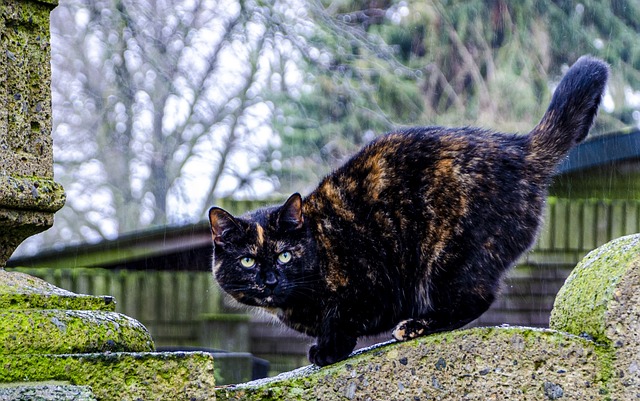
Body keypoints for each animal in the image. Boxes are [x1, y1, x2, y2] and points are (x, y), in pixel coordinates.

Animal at [211, 56, 608, 366]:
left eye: (285, 255)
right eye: (247, 260)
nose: (269, 280)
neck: (319, 246)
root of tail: (517, 148)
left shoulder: (369, 284)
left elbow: (341, 317)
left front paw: (328, 350)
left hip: (447, 256)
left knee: (475, 298)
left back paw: (417, 325)